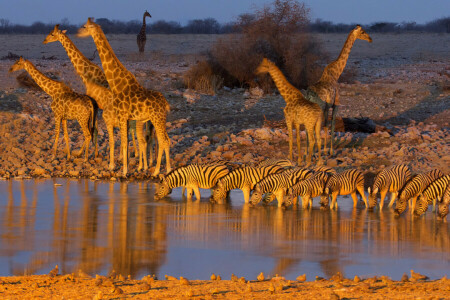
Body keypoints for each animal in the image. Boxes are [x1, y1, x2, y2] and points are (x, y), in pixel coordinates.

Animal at [42, 24, 150, 163]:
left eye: (52, 34)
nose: (44, 41)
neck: (87, 75)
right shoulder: (96, 106)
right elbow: (95, 129)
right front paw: (93, 153)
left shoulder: (95, 104)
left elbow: (94, 130)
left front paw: (87, 153)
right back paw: (133, 154)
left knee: (128, 130)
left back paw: (126, 156)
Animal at [77, 17, 171, 177]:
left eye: (84, 26)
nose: (76, 33)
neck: (117, 84)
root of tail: (166, 104)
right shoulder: (126, 118)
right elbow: (125, 142)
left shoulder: (122, 116)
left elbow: (124, 143)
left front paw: (124, 172)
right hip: (158, 119)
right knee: (165, 140)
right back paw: (167, 169)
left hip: (157, 118)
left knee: (164, 140)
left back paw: (158, 171)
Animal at [306, 24, 372, 156]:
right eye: (362, 32)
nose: (370, 39)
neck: (336, 74)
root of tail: (309, 95)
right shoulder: (336, 103)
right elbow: (331, 125)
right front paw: (329, 151)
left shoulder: (327, 106)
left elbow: (326, 125)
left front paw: (325, 149)